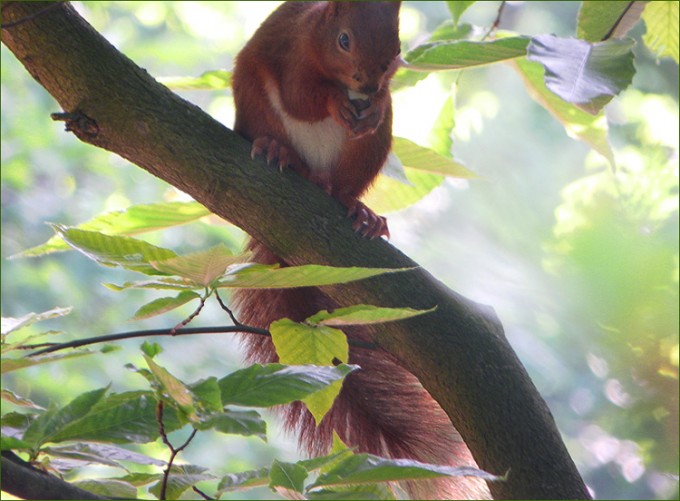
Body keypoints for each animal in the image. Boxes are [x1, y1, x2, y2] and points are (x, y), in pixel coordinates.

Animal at [231, 2, 487, 499]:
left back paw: (357, 208)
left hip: (369, 150)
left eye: (397, 45)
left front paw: (377, 101)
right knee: (283, 133)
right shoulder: (293, 53)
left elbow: (382, 103)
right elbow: (302, 96)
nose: (368, 85)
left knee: (344, 182)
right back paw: (279, 153)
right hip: (257, 106)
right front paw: (333, 102)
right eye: (344, 40)